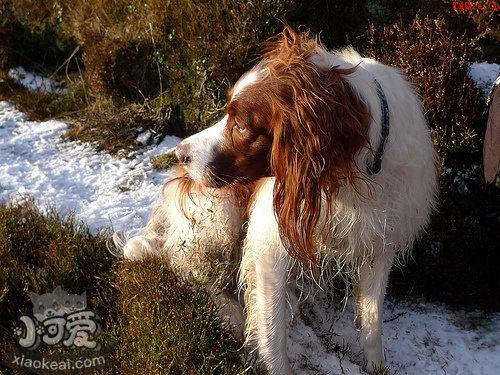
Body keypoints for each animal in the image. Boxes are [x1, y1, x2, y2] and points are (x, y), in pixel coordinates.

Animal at [115, 27, 436, 374]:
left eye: (241, 125)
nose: (180, 154)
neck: (347, 176)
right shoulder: (270, 242)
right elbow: (272, 331)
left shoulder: (380, 242)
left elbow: (372, 319)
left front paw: (375, 364)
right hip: (220, 209)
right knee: (190, 266)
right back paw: (230, 312)